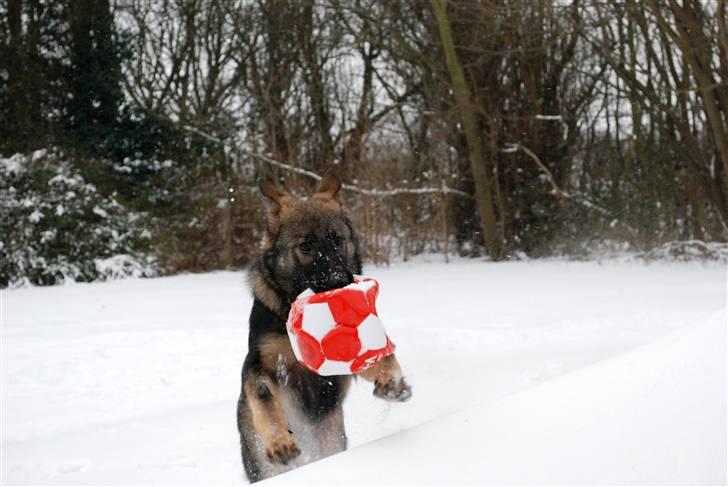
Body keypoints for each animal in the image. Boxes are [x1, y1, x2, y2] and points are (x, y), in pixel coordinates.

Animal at [237, 173, 412, 484]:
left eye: (337, 239)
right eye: (305, 246)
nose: (339, 282)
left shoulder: (342, 362)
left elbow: (382, 358)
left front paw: (392, 382)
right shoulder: (260, 363)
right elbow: (264, 395)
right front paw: (279, 440)